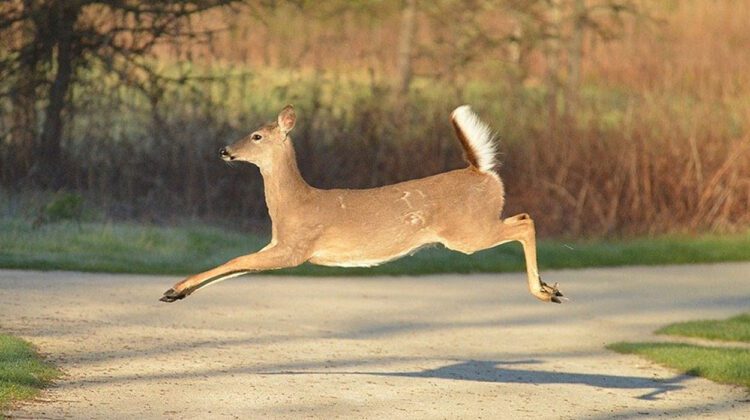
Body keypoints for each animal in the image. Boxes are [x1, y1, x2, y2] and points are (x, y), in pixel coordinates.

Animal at [162, 104, 568, 304]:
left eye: (257, 136)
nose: (224, 150)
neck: (295, 203)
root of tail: (481, 172)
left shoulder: (295, 248)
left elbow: (234, 261)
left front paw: (175, 288)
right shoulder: (278, 245)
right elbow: (236, 267)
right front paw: (175, 291)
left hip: (468, 231)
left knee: (525, 221)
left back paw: (544, 291)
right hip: (473, 228)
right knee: (522, 217)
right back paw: (549, 287)